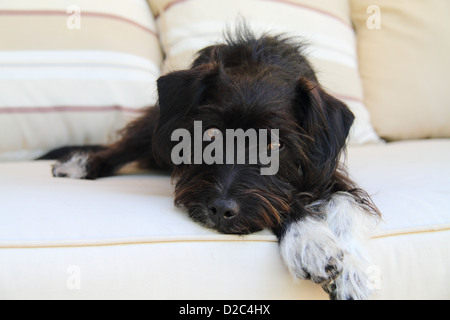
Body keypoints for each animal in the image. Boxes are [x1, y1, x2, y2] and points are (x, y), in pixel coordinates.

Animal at [48, 28, 380, 298]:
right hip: (155, 125)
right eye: (209, 134)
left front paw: (353, 273)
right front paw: (310, 241)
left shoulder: (325, 171)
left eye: (275, 145)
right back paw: (81, 164)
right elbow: (286, 200)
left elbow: (343, 202)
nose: (221, 209)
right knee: (123, 147)